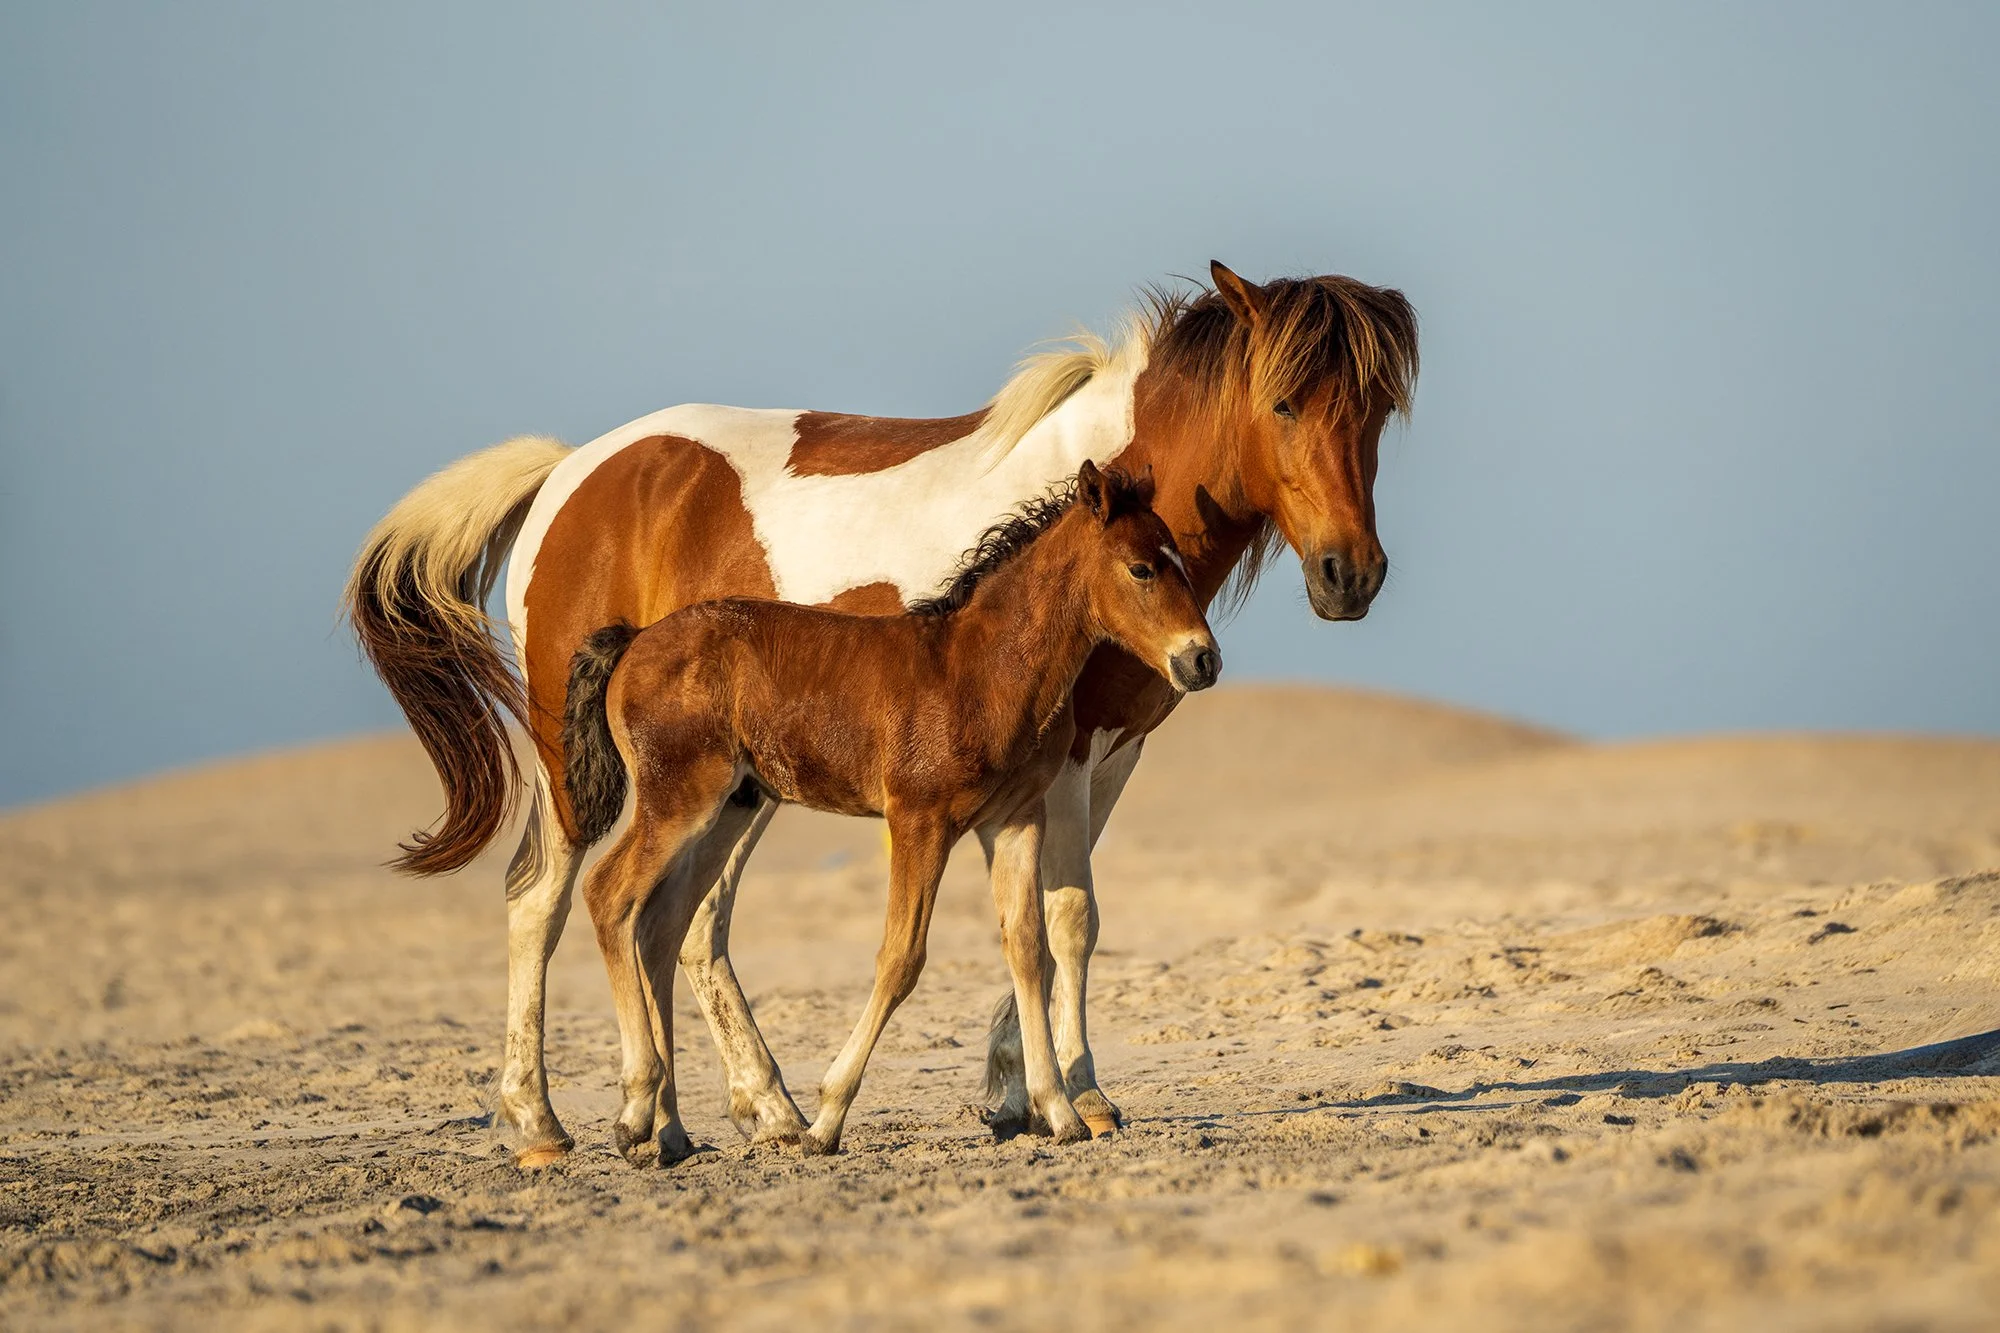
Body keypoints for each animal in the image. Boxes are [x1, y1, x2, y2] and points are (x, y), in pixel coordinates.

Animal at [556, 463, 1216, 1163]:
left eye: (1178, 559)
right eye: (1142, 568)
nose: (1204, 659)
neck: (983, 668)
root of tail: (633, 643)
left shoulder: (1014, 821)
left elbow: (1028, 950)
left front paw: (1060, 1112)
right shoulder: (919, 821)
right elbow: (901, 958)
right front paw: (826, 1119)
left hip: (729, 806)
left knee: (659, 924)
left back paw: (671, 1130)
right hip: (678, 799)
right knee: (609, 895)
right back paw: (635, 1110)